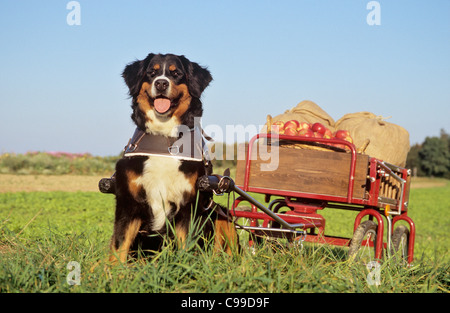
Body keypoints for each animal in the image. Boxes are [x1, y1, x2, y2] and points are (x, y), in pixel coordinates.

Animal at [109, 52, 239, 262]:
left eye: (176, 73)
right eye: (151, 72)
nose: (161, 83)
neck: (164, 140)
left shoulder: (189, 205)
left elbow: (187, 248)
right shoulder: (128, 203)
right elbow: (119, 247)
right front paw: (112, 271)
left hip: (222, 215)